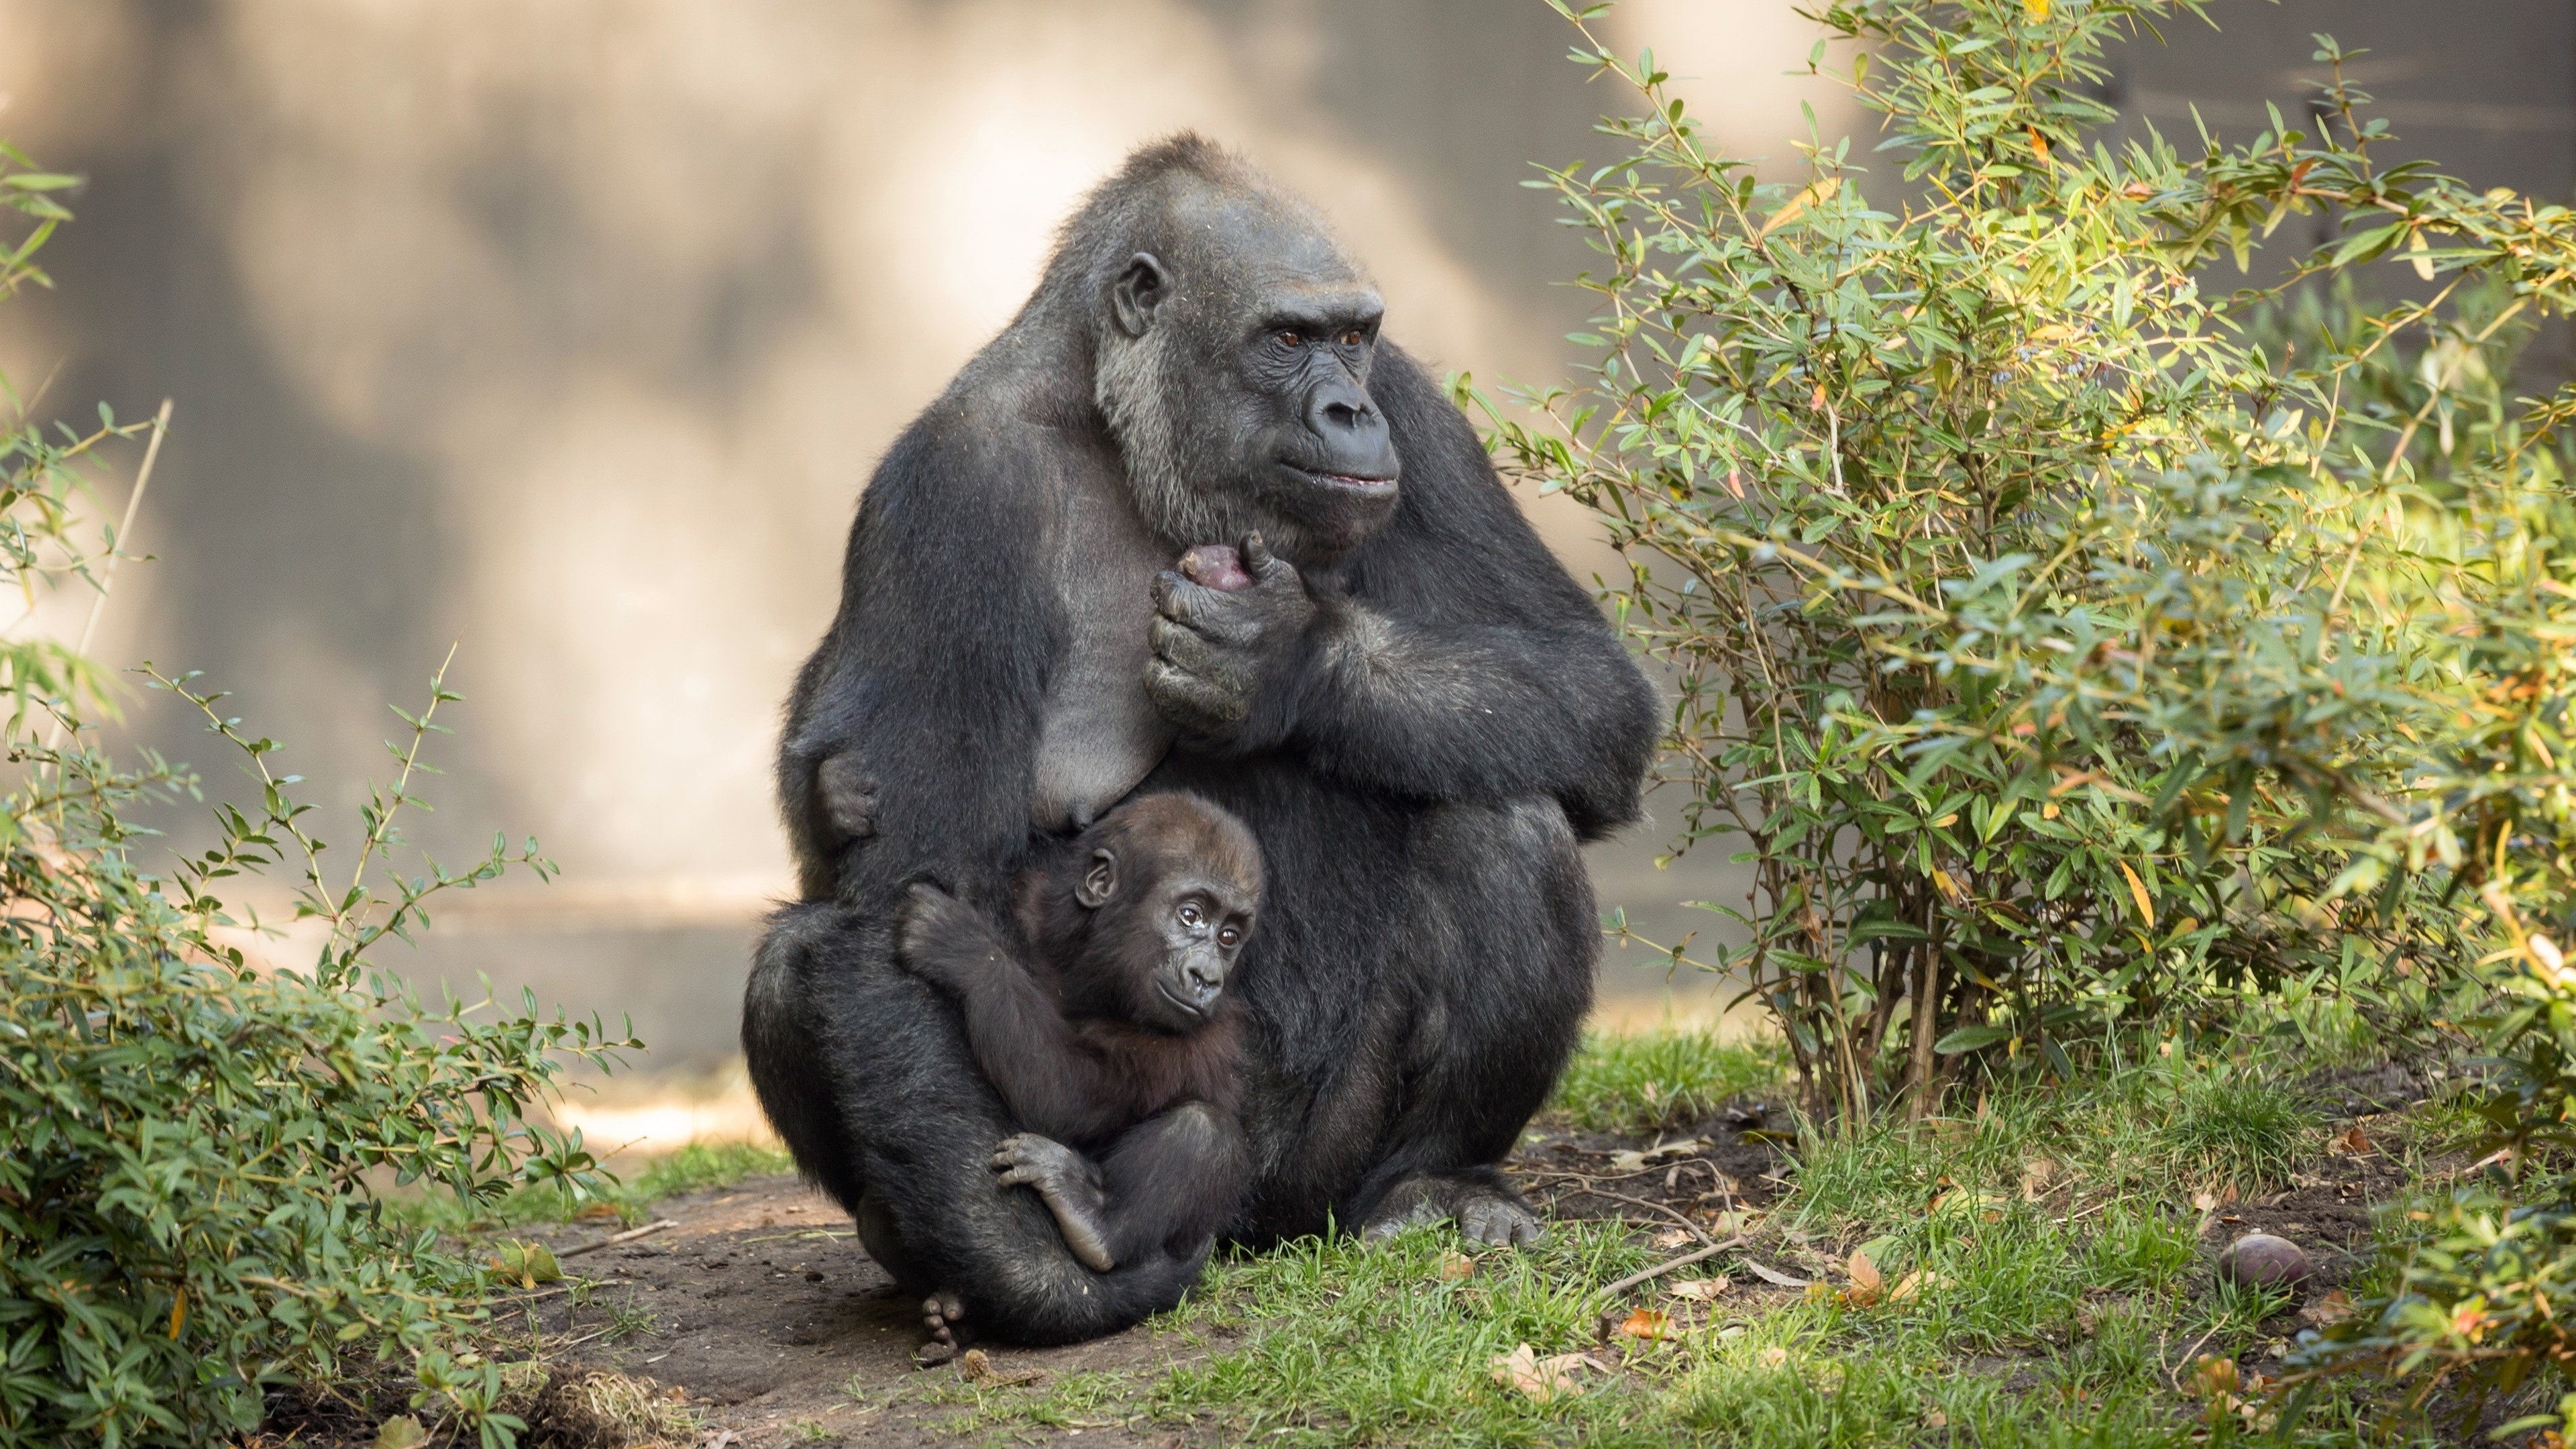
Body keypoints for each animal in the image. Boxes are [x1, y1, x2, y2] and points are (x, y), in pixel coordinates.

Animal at [896, 789, 1256, 1340]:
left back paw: (1094, 1221)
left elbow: (1069, 1098)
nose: (1207, 978)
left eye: (1230, 937)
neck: (1084, 962)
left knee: (1204, 1128)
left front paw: (967, 952)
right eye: (1192, 915)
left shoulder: (1199, 1036)